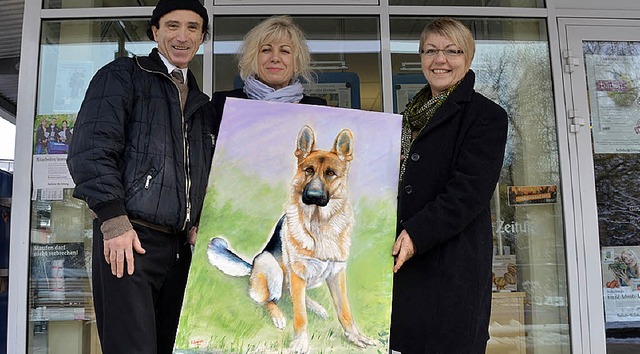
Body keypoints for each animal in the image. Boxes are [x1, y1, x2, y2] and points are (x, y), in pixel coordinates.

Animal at [205, 124, 376, 352]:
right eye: (308, 170)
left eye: (331, 173)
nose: (312, 196)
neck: (319, 226)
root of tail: (251, 268)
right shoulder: (297, 272)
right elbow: (300, 315)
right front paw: (300, 342)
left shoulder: (336, 273)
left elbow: (345, 310)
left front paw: (355, 337)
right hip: (271, 265)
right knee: (270, 298)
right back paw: (278, 315)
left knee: (292, 294)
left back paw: (315, 306)